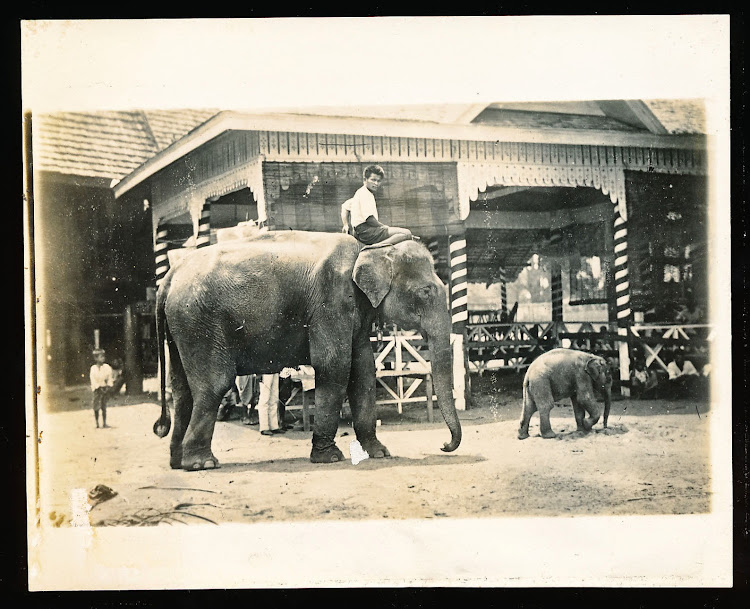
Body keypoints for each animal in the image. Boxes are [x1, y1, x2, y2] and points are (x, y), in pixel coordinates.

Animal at [153, 230, 462, 468]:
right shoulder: (331, 301)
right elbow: (334, 367)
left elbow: (363, 370)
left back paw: (177, 462)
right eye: (426, 292)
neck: (369, 248)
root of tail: (168, 278)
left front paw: (380, 453)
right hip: (200, 323)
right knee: (213, 385)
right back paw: (202, 464)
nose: (443, 444)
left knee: (182, 390)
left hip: (182, 327)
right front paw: (330, 457)